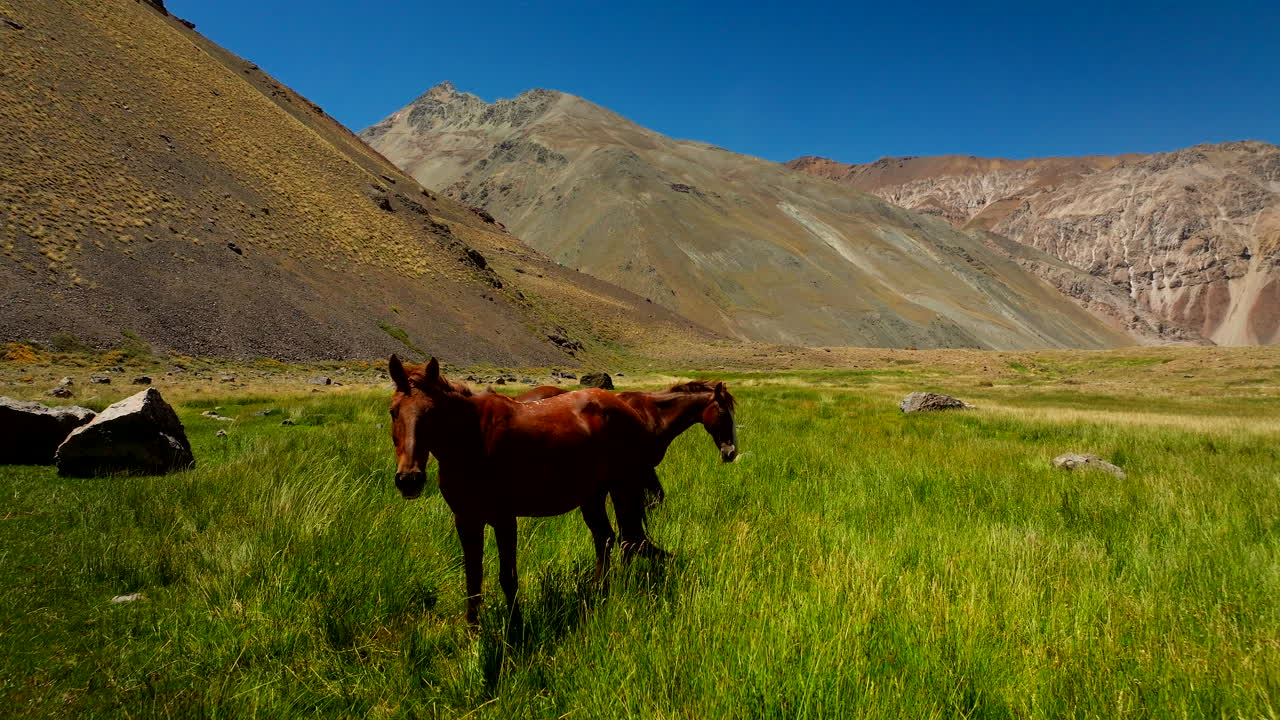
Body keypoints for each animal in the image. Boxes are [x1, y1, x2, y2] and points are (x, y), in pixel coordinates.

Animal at [388, 355, 660, 625]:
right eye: (393, 411)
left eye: (432, 412)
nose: (409, 479)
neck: (473, 440)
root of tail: (626, 408)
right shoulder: (465, 520)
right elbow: (473, 577)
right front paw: (473, 628)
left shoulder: (504, 520)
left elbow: (507, 577)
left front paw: (515, 626)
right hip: (592, 496)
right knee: (605, 538)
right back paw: (597, 592)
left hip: (623, 488)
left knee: (627, 540)